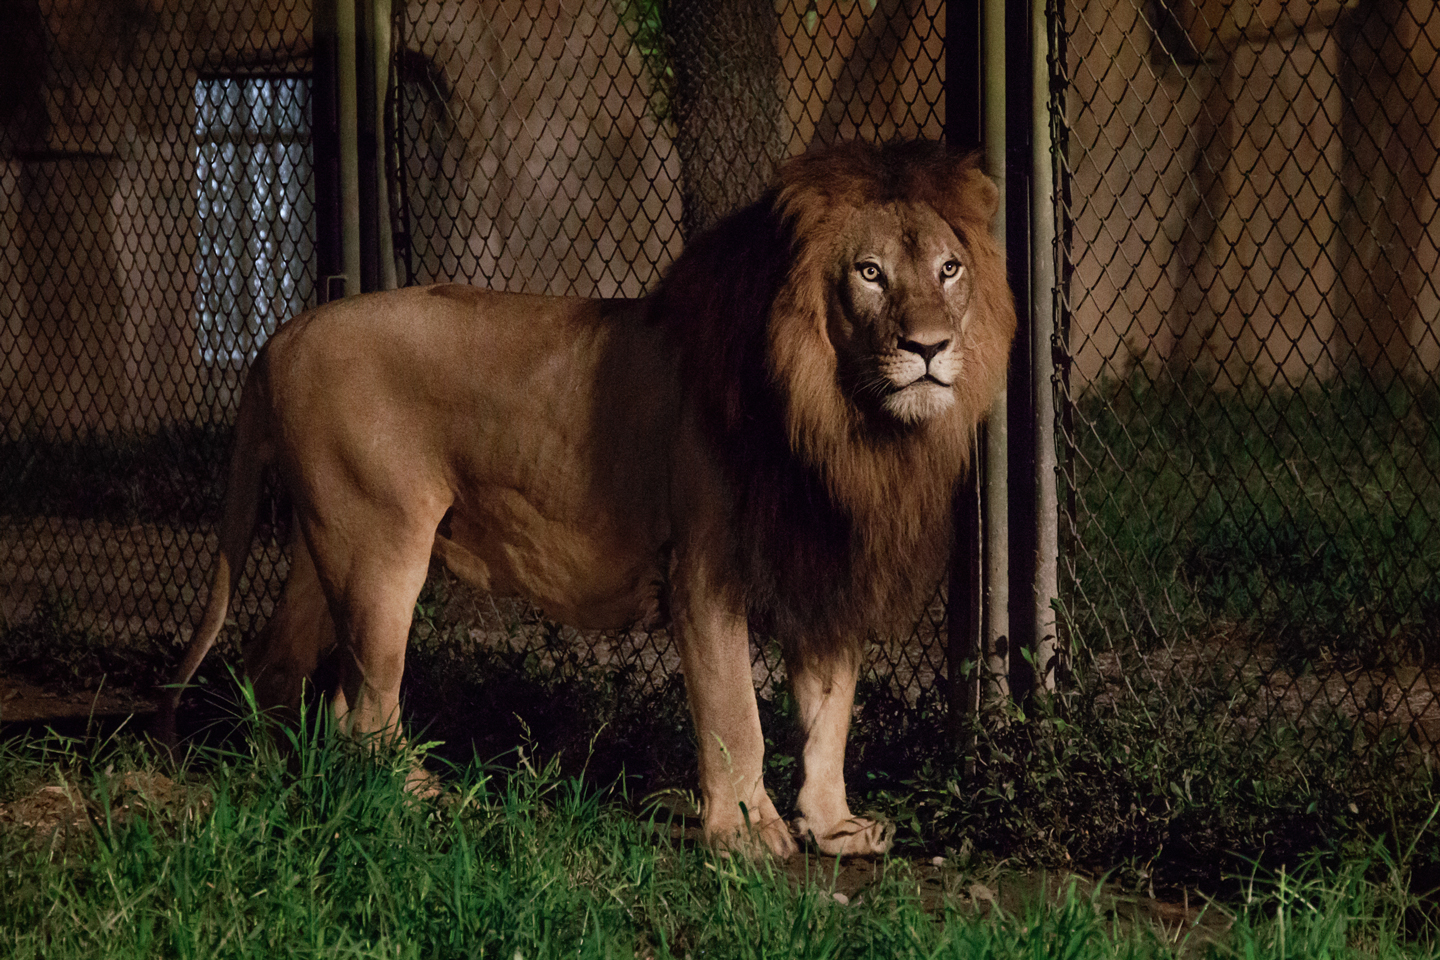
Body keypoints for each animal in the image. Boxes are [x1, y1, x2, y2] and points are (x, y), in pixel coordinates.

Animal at [163, 139, 1015, 858]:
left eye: (949, 270)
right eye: (869, 273)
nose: (930, 347)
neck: (846, 424)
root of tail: (281, 337)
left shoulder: (825, 563)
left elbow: (830, 711)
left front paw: (833, 825)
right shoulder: (704, 572)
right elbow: (736, 711)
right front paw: (746, 832)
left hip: (328, 548)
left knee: (275, 668)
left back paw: (278, 781)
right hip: (378, 548)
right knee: (364, 709)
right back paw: (421, 803)